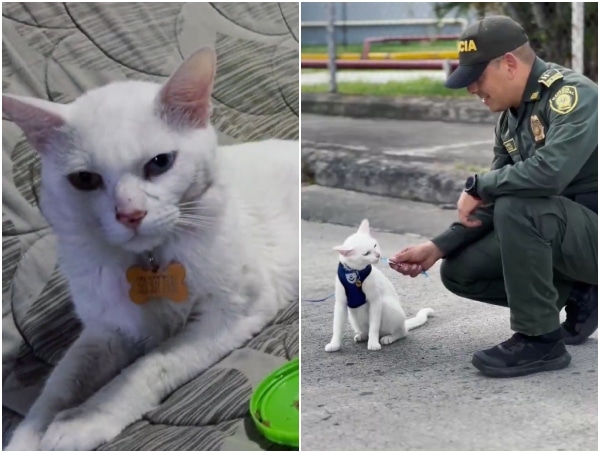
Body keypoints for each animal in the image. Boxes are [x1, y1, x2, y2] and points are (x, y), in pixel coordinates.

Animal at [2, 47, 298, 450]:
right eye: (84, 179)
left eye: (160, 163)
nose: (131, 214)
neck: (151, 260)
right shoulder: (106, 332)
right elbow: (57, 388)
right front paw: (29, 436)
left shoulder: (233, 312)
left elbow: (147, 367)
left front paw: (82, 419)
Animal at [326, 219, 434, 354]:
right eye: (366, 253)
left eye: (375, 245)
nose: (378, 255)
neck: (354, 272)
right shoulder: (341, 303)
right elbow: (337, 326)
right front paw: (334, 344)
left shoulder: (375, 301)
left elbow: (374, 326)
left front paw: (373, 343)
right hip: (353, 316)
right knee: (366, 329)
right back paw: (362, 335)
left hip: (386, 305)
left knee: (402, 332)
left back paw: (388, 337)